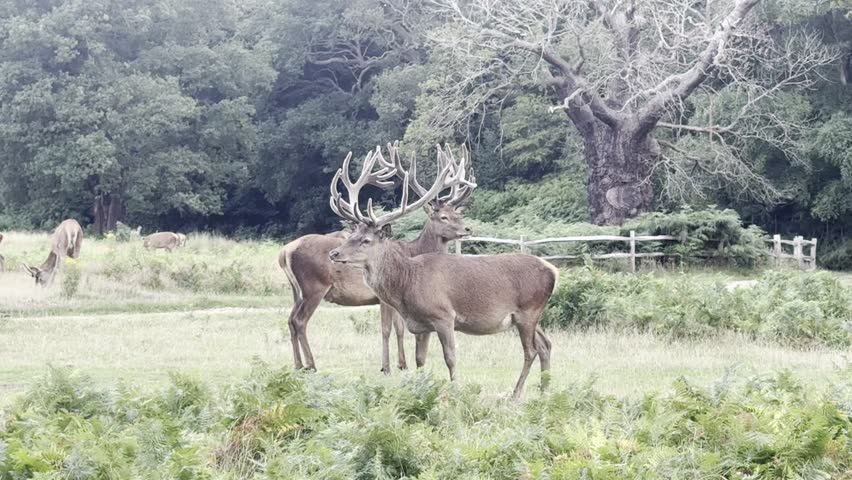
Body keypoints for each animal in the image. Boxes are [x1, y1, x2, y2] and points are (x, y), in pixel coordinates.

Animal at [279, 142, 475, 373]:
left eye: (458, 214)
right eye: (443, 217)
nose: (468, 228)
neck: (413, 251)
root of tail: (285, 252)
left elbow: (399, 328)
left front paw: (402, 364)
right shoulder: (383, 298)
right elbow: (387, 329)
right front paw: (387, 367)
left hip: (297, 291)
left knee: (290, 319)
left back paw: (298, 364)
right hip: (314, 286)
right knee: (300, 321)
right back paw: (311, 364)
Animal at [328, 145, 558, 399]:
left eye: (366, 240)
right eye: (352, 235)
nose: (334, 253)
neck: (406, 283)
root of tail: (553, 270)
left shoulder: (444, 315)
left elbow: (450, 357)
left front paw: (455, 392)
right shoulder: (421, 324)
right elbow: (420, 359)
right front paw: (419, 389)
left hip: (528, 310)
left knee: (531, 350)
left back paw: (516, 393)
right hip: (532, 315)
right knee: (546, 344)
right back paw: (545, 391)